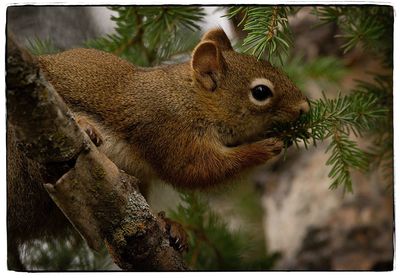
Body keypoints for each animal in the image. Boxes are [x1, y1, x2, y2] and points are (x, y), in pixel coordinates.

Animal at [8, 28, 310, 270]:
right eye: (260, 92)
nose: (305, 108)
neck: (190, 99)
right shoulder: (168, 131)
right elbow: (194, 170)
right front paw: (265, 147)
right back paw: (85, 128)